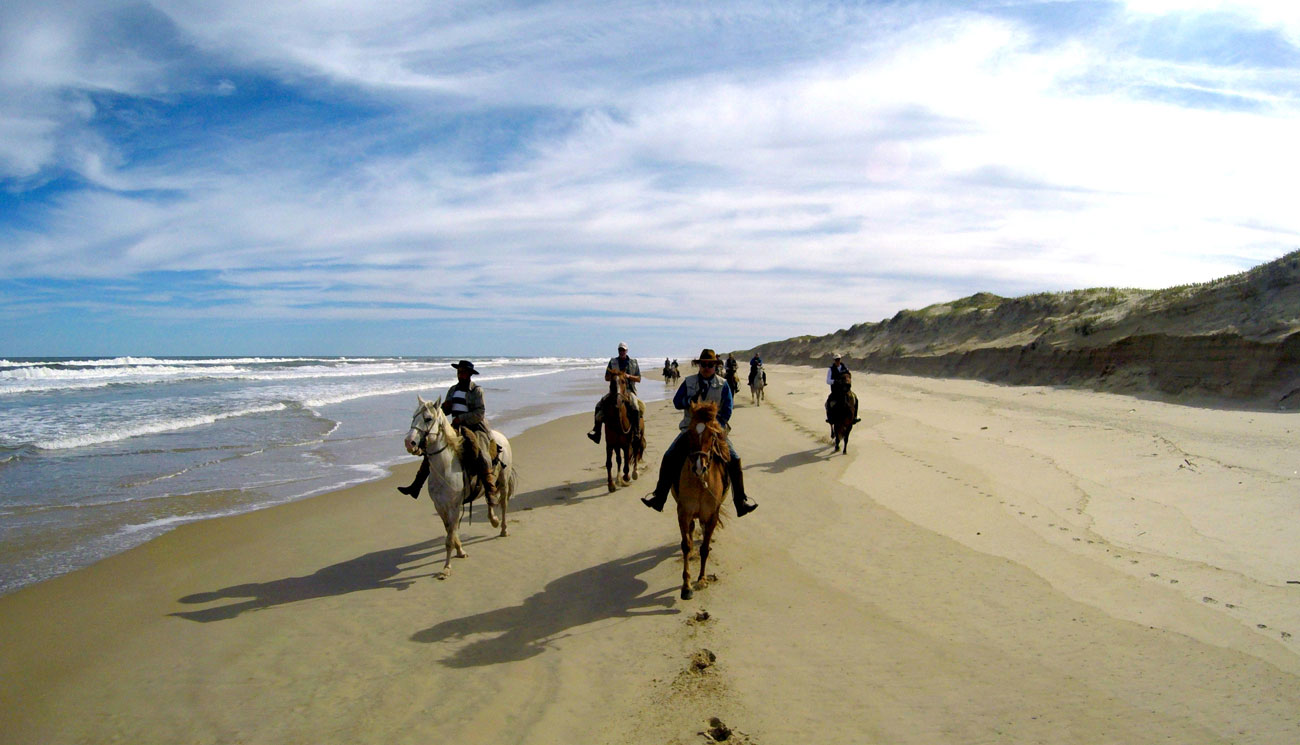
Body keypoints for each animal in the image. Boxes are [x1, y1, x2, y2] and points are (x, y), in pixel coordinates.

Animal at [403, 395, 514, 574]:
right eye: (413, 417)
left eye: (428, 418)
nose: (409, 442)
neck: (445, 467)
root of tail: (501, 437)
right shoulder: (440, 507)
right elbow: (451, 532)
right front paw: (460, 551)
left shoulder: (454, 507)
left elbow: (450, 537)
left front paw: (446, 568)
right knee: (489, 498)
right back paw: (493, 520)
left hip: (504, 481)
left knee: (503, 503)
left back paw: (503, 529)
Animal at [670, 400, 733, 598]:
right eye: (690, 432)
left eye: (712, 434)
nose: (699, 467)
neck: (700, 481)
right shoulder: (683, 512)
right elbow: (686, 545)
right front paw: (686, 586)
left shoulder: (712, 514)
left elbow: (704, 548)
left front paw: (702, 579)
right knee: (691, 533)